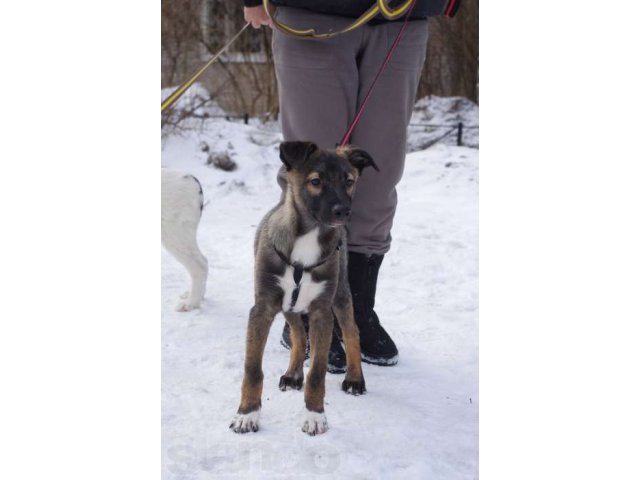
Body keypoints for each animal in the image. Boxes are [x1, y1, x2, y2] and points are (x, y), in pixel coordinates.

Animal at [231, 141, 378, 436]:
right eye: (315, 181)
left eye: (349, 181)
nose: (343, 212)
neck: (307, 237)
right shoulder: (263, 308)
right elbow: (252, 368)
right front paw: (247, 414)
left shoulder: (322, 312)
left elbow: (318, 371)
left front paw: (315, 415)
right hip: (290, 305)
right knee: (298, 334)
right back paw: (292, 374)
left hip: (341, 294)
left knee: (352, 331)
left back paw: (355, 378)